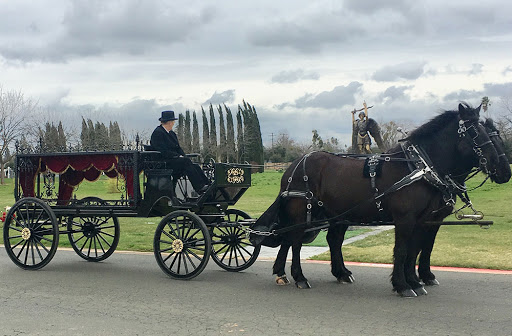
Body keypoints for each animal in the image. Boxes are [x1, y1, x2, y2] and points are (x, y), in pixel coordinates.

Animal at [254, 102, 502, 296]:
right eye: (474, 132)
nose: (502, 170)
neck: (417, 168)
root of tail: (294, 165)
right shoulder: (406, 219)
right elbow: (403, 250)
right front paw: (403, 285)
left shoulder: (425, 220)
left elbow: (417, 249)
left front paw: (416, 281)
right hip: (302, 211)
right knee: (295, 241)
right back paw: (299, 277)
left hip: (333, 214)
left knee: (317, 239)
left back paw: (325, 273)